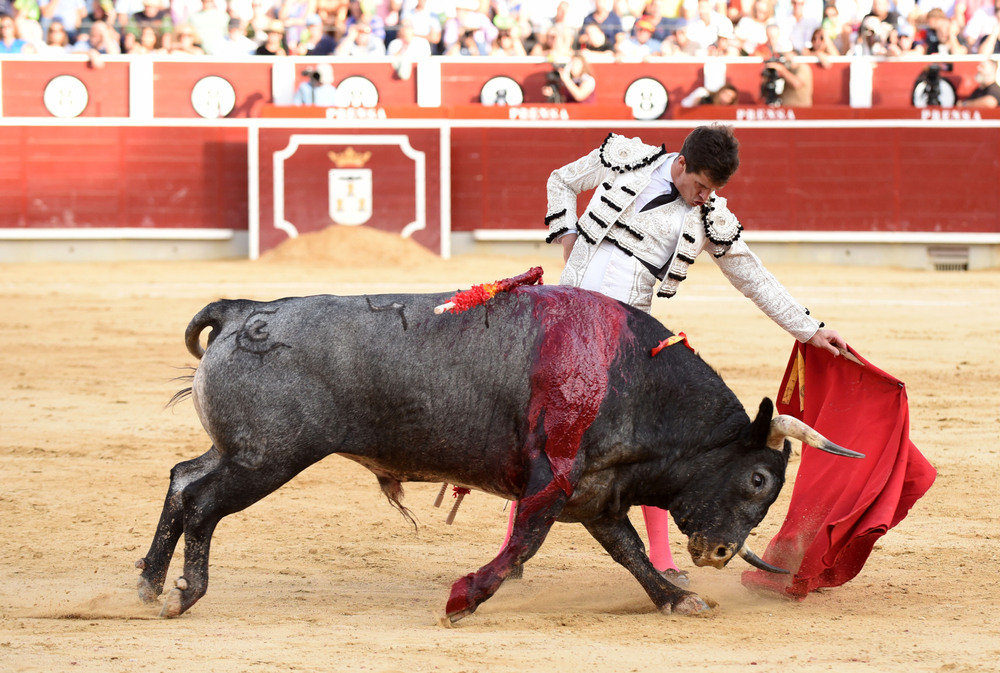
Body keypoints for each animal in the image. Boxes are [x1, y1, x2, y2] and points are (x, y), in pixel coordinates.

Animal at [135, 276, 860, 624]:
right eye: (760, 478)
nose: (719, 554)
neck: (636, 380)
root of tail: (245, 310)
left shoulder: (596, 496)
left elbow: (627, 552)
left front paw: (677, 598)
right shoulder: (554, 484)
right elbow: (525, 544)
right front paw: (464, 599)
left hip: (241, 452)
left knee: (182, 478)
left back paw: (148, 583)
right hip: (267, 459)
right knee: (203, 504)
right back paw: (183, 594)